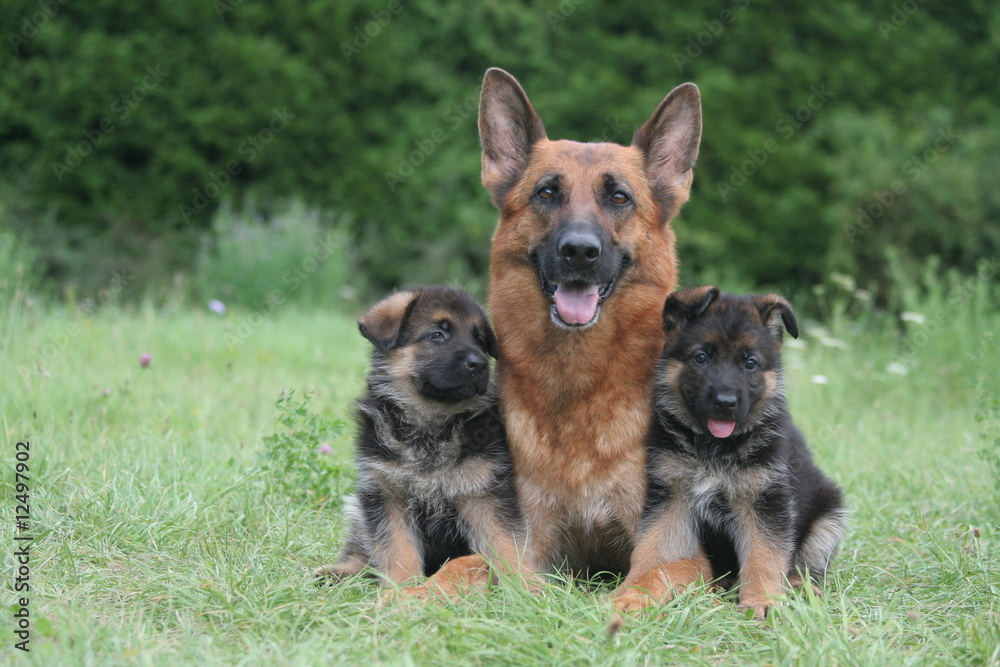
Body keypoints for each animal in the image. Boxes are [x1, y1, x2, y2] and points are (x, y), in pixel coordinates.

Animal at [316, 288, 528, 596]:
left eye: (479, 339)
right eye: (437, 335)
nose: (478, 364)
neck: (431, 424)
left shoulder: (484, 492)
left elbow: (506, 544)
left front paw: (528, 590)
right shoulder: (387, 493)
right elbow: (398, 551)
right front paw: (402, 590)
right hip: (362, 511)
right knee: (362, 553)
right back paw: (337, 572)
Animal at [478, 69, 700, 580]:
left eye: (618, 197)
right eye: (547, 192)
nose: (579, 251)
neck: (580, 383)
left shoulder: (677, 553)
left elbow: (650, 577)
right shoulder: (532, 548)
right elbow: (475, 565)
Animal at [612, 288, 848, 620]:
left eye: (750, 363)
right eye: (701, 357)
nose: (725, 402)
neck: (714, 448)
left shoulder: (764, 500)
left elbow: (764, 555)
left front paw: (762, 602)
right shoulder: (671, 497)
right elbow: (653, 548)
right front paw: (635, 591)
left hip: (829, 518)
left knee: (806, 567)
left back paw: (800, 587)